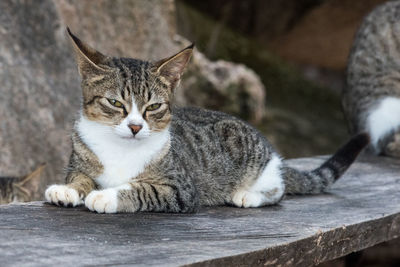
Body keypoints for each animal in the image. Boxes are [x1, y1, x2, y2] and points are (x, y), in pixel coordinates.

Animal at [44, 28, 368, 215]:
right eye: (115, 103)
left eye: (154, 106)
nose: (135, 127)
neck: (119, 149)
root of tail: (272, 152)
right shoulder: (80, 160)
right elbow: (80, 177)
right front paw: (68, 189)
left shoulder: (180, 189)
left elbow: (141, 189)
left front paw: (105, 196)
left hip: (257, 163)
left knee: (278, 189)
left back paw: (247, 195)